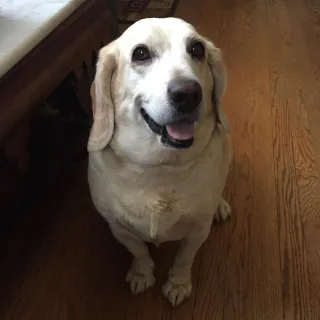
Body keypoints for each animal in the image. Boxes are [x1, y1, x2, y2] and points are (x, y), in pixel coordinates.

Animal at [87, 17, 232, 308]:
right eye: (140, 53)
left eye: (197, 49)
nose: (188, 93)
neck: (161, 168)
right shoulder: (119, 228)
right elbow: (139, 251)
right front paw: (141, 274)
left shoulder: (198, 229)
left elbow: (185, 258)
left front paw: (178, 284)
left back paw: (220, 206)